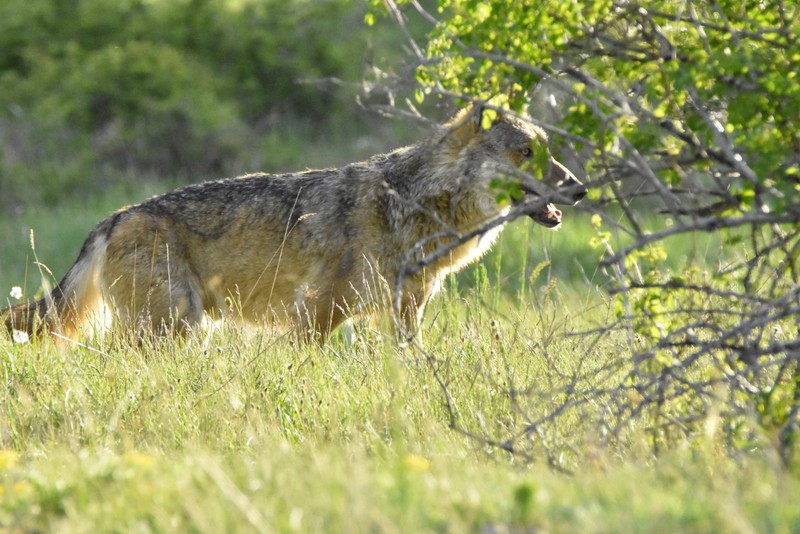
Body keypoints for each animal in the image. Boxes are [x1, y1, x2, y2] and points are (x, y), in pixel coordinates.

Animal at [3, 105, 584, 344]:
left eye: (550, 152)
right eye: (527, 153)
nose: (579, 189)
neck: (415, 207)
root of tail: (112, 217)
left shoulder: (404, 315)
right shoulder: (316, 317)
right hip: (173, 327)